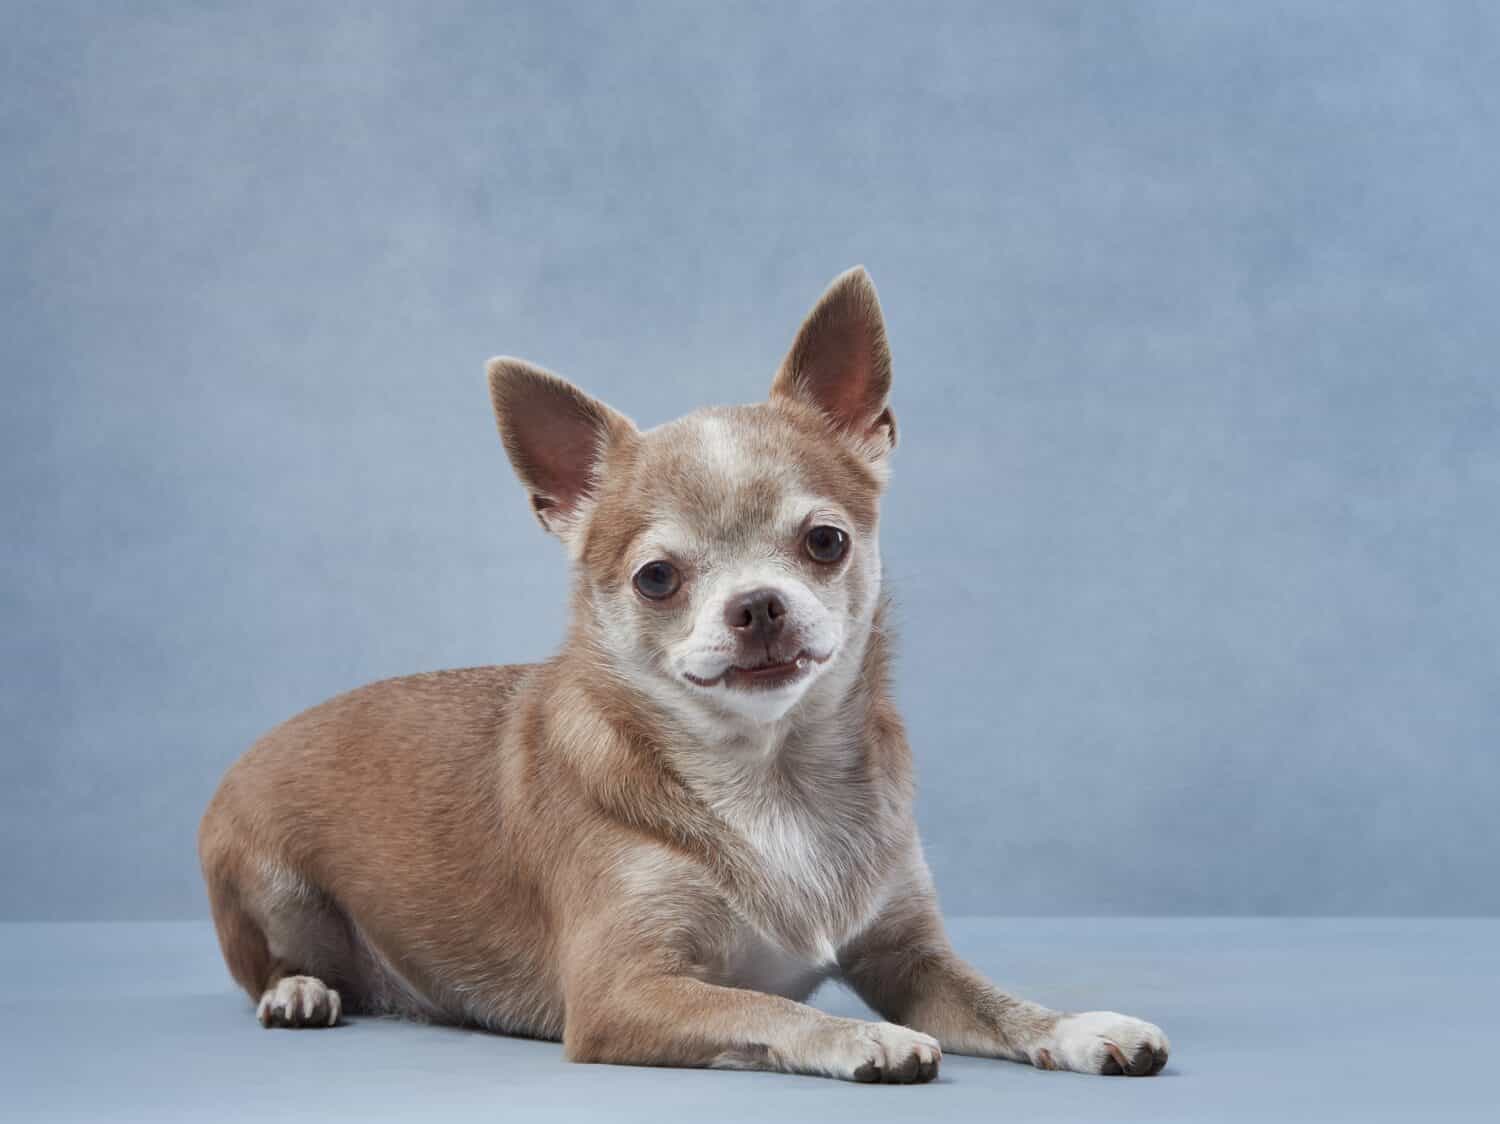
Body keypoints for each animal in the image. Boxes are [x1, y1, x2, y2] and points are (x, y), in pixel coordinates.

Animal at [199, 270, 1170, 1080]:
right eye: (656, 577)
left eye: (826, 541)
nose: (759, 605)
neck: (772, 780)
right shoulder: (623, 993)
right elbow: (763, 1007)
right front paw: (868, 1034)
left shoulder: (909, 957)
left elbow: (998, 1003)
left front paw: (1084, 1025)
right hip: (269, 882)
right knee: (278, 970)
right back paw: (301, 991)